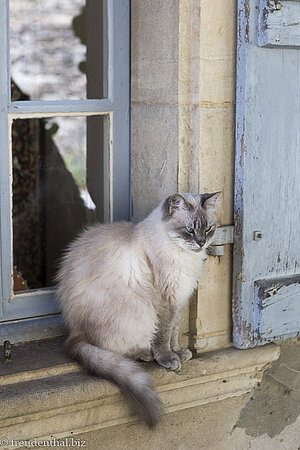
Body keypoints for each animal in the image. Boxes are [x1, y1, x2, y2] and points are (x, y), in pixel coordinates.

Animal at [55, 192, 220, 428]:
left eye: (208, 229)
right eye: (189, 229)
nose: (201, 242)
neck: (184, 255)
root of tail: (74, 332)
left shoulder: (179, 301)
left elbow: (174, 334)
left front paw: (179, 353)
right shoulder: (165, 302)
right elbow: (163, 337)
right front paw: (169, 359)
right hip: (138, 313)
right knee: (115, 349)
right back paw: (145, 354)